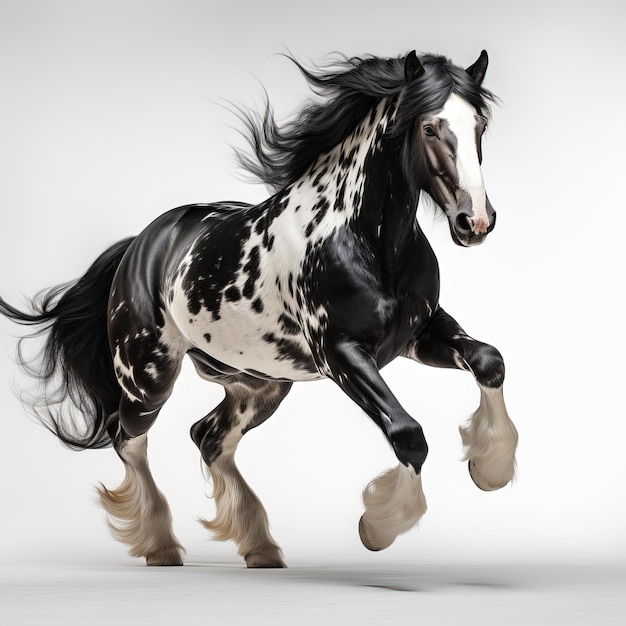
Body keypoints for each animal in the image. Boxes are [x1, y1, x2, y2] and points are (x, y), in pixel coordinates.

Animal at [0, 48, 516, 564]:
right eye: (429, 127)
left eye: (479, 126)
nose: (475, 222)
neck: (364, 242)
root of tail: (139, 246)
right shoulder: (341, 354)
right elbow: (408, 433)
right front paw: (380, 526)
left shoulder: (418, 334)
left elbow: (489, 360)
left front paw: (491, 469)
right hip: (148, 378)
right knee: (127, 438)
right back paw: (163, 546)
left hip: (260, 382)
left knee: (209, 438)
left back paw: (260, 547)